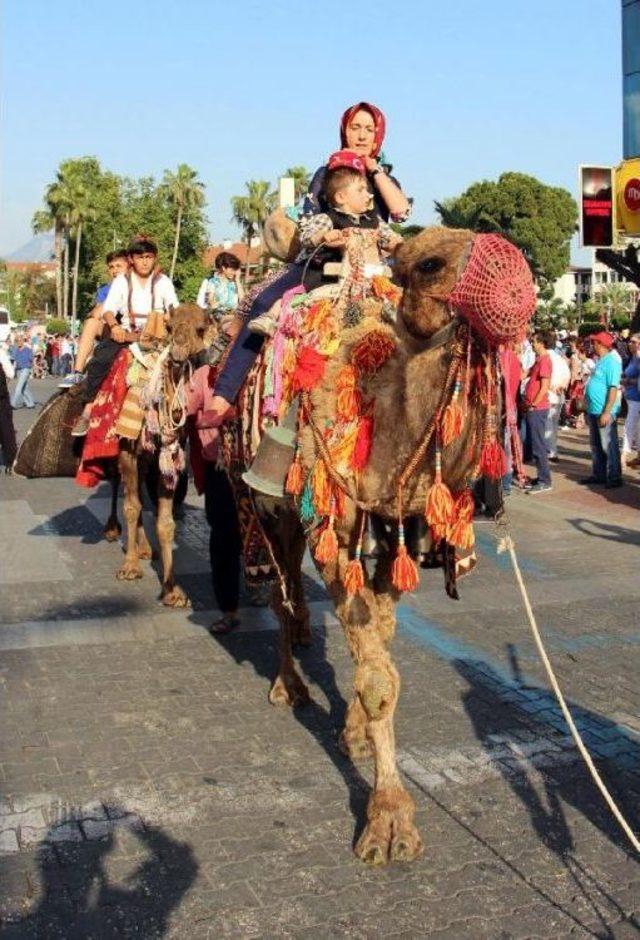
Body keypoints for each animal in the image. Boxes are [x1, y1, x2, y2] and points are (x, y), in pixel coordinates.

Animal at [225, 222, 536, 868]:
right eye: (430, 263)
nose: (514, 280)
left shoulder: (393, 540)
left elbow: (382, 658)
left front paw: (356, 739)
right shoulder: (337, 531)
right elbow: (377, 681)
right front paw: (388, 823)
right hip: (270, 503)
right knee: (282, 592)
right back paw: (289, 685)